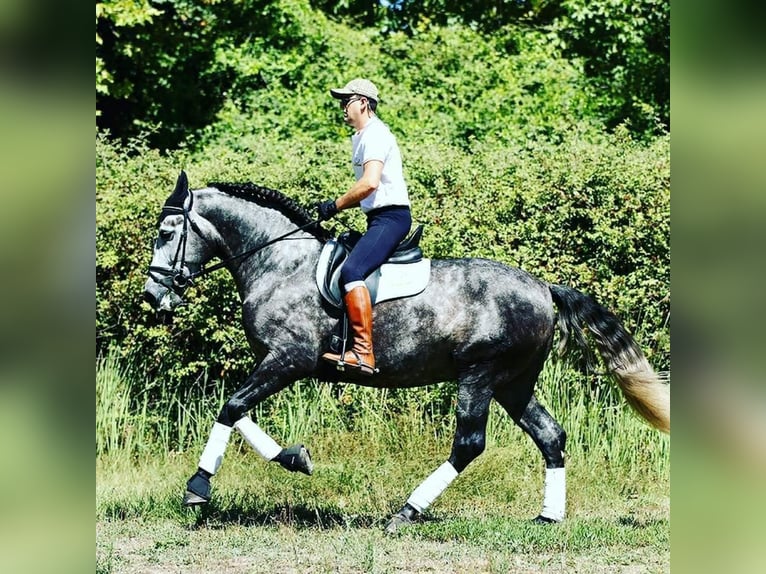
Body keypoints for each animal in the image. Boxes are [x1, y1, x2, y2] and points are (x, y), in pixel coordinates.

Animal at [144, 171, 672, 536]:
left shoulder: (288, 360)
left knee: (469, 444)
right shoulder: (281, 363)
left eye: (167, 234)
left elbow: (231, 407)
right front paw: (295, 458)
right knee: (550, 436)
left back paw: (406, 512)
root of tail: (544, 287)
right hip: (513, 383)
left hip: (480, 374)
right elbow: (239, 412)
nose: (153, 297)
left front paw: (198, 489)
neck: (279, 262)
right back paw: (548, 518)